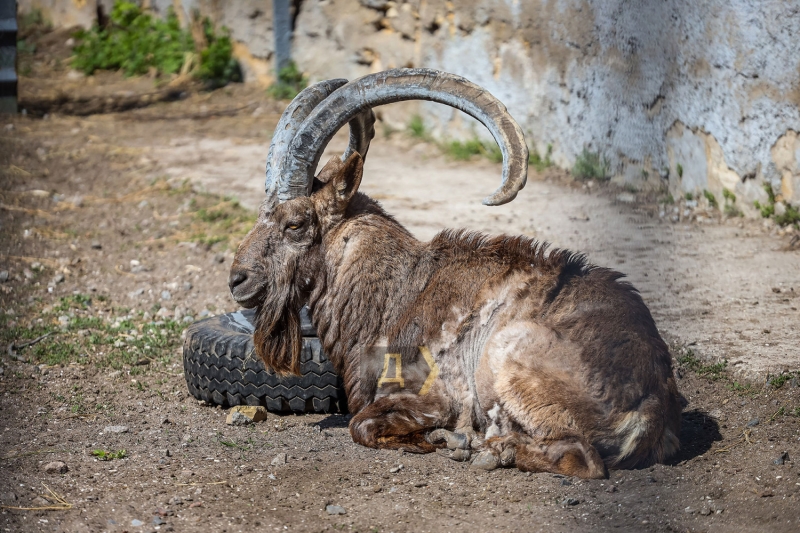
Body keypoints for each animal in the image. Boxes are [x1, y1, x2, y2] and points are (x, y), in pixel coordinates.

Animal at [230, 67, 680, 478]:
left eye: (295, 223)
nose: (238, 280)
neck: (398, 294)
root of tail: (650, 403)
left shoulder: (436, 396)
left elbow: (362, 425)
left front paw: (435, 439)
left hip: (508, 355)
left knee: (580, 457)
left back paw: (484, 448)